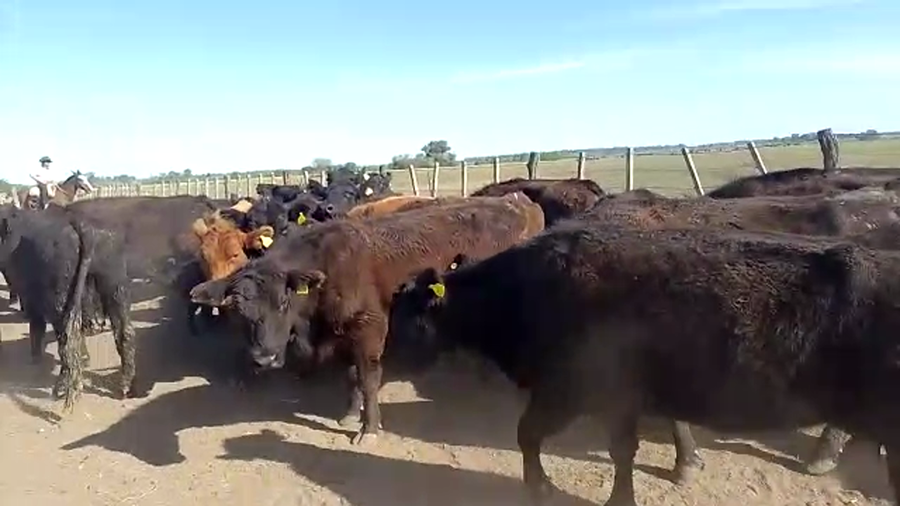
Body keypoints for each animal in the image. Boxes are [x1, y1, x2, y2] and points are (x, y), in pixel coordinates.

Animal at [0, 207, 139, 410]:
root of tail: (84, 226)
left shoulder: (30, 297)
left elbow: (36, 326)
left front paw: (35, 358)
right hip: (115, 284)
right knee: (124, 331)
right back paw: (127, 387)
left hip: (60, 300)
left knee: (67, 339)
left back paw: (63, 391)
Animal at [189, 193, 546, 444]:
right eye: (238, 310)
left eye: (283, 301)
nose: (263, 359)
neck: (331, 267)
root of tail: (514, 202)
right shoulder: (344, 332)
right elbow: (352, 376)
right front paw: (350, 415)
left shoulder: (371, 328)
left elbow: (368, 378)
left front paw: (370, 427)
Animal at [389, 222, 900, 506]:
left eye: (406, 317)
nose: (382, 358)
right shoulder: (628, 397)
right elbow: (635, 444)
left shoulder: (573, 392)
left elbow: (532, 436)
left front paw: (543, 488)